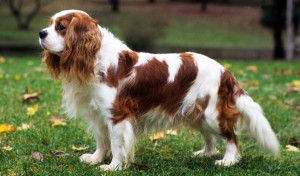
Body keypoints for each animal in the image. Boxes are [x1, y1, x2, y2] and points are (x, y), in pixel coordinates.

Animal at [38, 9, 280, 170]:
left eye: (60, 27)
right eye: (50, 24)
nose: (41, 33)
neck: (95, 58)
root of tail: (225, 71)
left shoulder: (117, 115)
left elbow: (116, 144)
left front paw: (113, 167)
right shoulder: (97, 114)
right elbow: (102, 140)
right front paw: (96, 158)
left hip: (211, 114)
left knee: (230, 136)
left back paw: (228, 160)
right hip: (196, 113)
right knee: (210, 138)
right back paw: (205, 154)